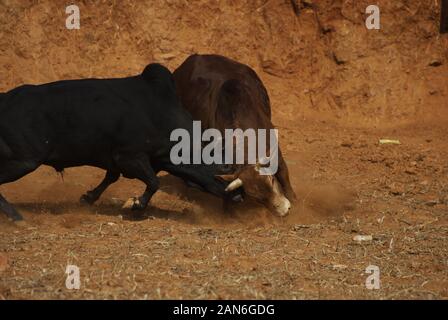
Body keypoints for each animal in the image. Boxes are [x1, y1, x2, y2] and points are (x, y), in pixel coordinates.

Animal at [0, 63, 238, 221]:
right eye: (209, 158)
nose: (238, 195)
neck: (160, 114)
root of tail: (5, 99)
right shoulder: (130, 157)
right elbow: (154, 182)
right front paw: (136, 204)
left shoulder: (121, 160)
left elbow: (111, 178)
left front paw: (88, 197)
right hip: (24, 161)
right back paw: (16, 217)